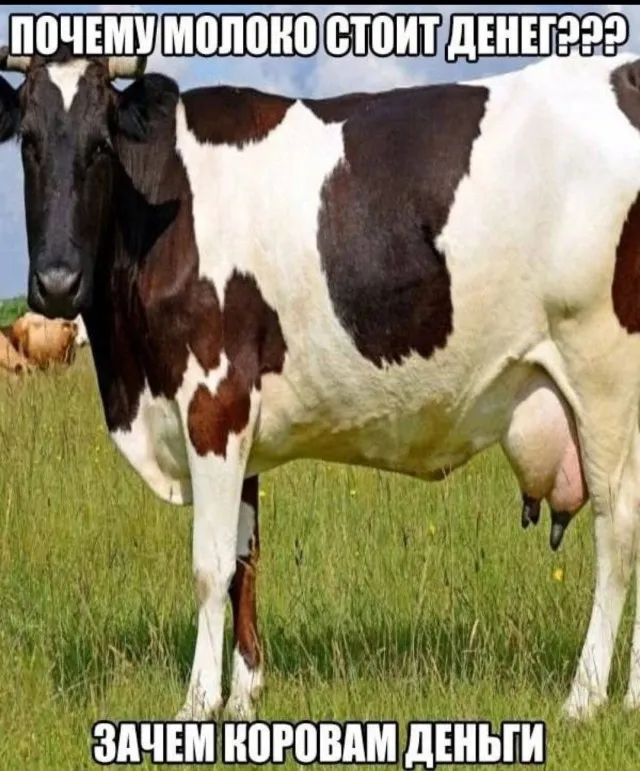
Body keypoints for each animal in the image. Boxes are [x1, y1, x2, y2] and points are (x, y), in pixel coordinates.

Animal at [0, 46, 638, 724]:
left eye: (101, 144)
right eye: (28, 142)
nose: (58, 284)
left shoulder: (213, 399)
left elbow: (210, 565)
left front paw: (198, 704)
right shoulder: (241, 419)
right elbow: (245, 560)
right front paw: (245, 696)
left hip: (601, 373)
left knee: (616, 527)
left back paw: (585, 696)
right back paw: (631, 695)